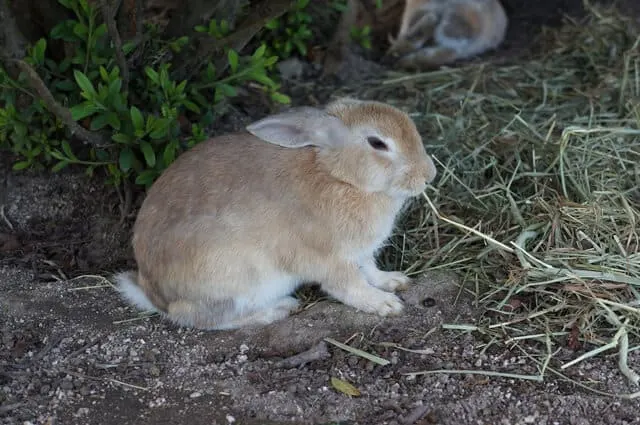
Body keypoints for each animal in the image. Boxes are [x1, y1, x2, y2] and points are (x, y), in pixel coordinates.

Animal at [112, 97, 438, 330]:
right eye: (377, 143)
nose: (429, 175)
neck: (338, 176)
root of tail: (153, 294)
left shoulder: (361, 253)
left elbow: (370, 270)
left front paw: (394, 281)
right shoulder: (329, 259)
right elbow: (350, 286)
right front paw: (386, 305)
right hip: (235, 277)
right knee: (201, 319)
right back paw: (277, 310)